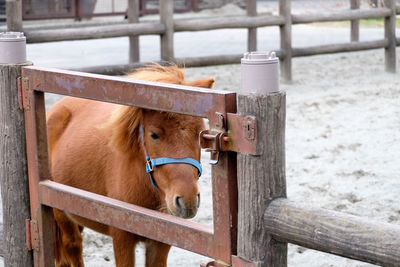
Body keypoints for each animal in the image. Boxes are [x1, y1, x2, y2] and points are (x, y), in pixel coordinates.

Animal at [46, 65, 214, 267]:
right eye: (154, 135)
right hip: (60, 211)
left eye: (200, 133)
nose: (187, 200)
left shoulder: (160, 241)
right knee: (73, 246)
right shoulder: (121, 237)